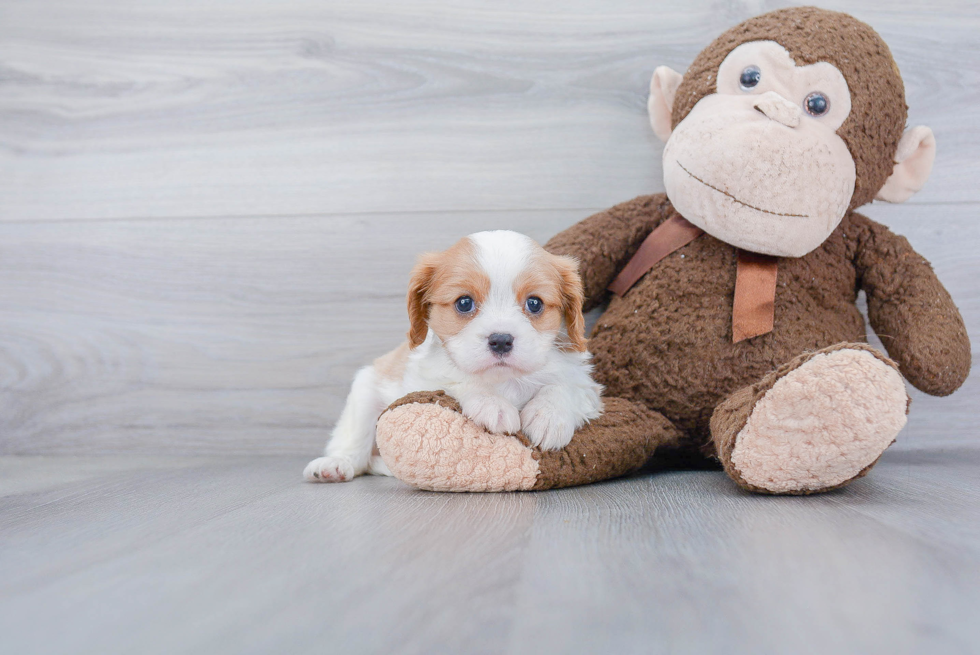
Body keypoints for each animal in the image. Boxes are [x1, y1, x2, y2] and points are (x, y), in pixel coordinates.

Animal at [302, 229, 600, 482]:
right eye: (464, 303)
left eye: (535, 303)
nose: (501, 340)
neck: (504, 379)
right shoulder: (422, 379)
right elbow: (458, 380)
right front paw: (492, 404)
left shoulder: (585, 383)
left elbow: (564, 385)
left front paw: (549, 416)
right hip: (365, 392)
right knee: (354, 445)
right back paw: (335, 464)